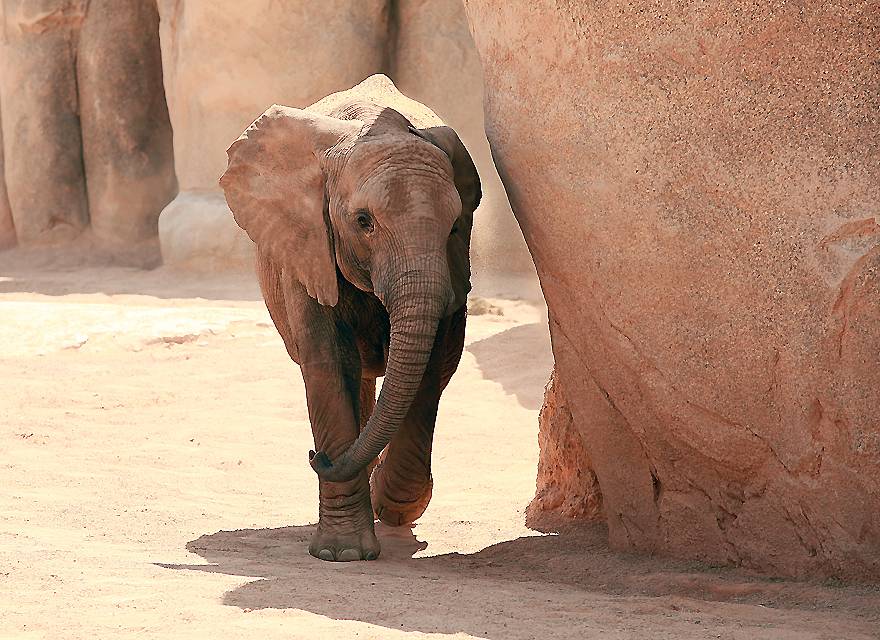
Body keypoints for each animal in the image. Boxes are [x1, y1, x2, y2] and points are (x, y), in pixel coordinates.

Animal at [220, 75, 480, 562]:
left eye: (455, 225)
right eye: (363, 222)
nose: (315, 457)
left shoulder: (454, 264)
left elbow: (431, 366)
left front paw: (392, 505)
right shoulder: (306, 245)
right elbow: (328, 363)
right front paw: (342, 555)